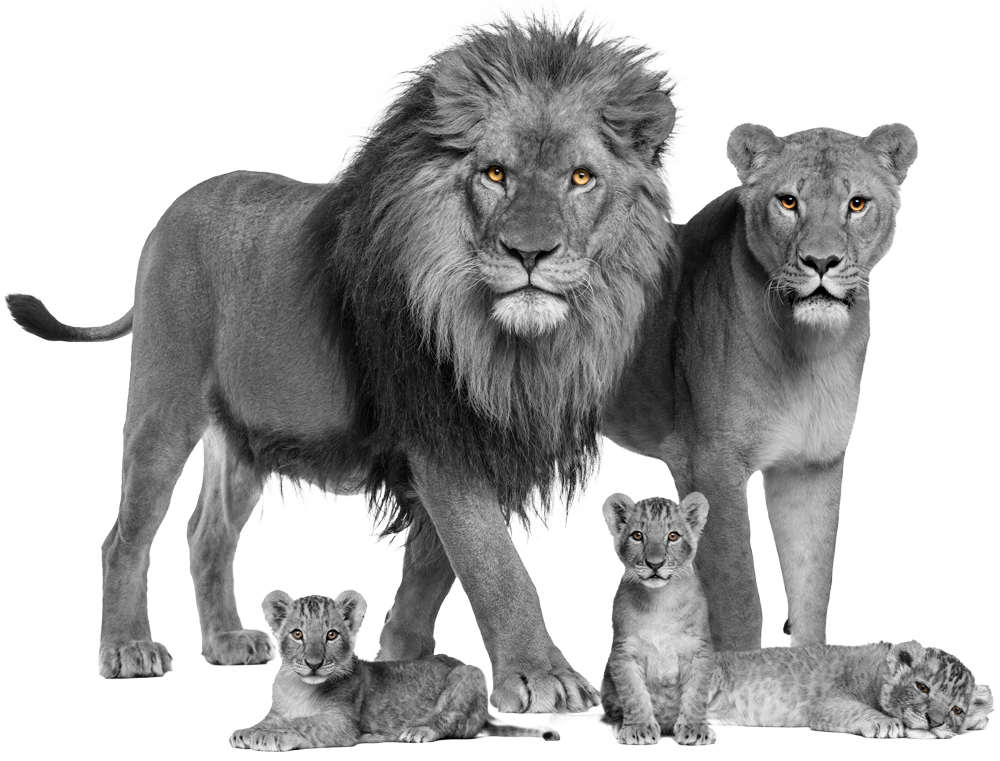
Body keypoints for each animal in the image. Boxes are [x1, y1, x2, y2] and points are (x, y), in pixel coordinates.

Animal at [4, 9, 677, 713]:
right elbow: (494, 564)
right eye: (495, 174)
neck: (517, 346)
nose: (529, 253)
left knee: (206, 533)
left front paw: (402, 657)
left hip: (247, 437)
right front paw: (541, 675)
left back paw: (226, 641)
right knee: (126, 536)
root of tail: (169, 213)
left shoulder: (473, 440)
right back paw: (127, 649)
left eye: (582, 177)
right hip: (163, 407)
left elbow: (433, 565)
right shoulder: (441, 434)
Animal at [603, 122, 918, 651]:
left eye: (856, 203)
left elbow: (814, 587)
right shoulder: (710, 461)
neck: (809, 351)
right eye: (788, 201)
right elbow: (739, 600)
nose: (821, 261)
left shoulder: (811, 465)